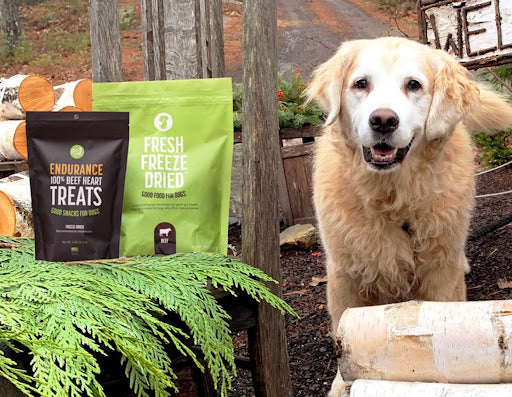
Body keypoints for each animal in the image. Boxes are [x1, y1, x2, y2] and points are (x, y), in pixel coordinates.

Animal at [306, 36, 512, 392]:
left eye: (413, 85)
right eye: (361, 84)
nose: (383, 120)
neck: (392, 196)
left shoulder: (440, 272)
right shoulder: (345, 274)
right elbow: (343, 329)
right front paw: (341, 384)